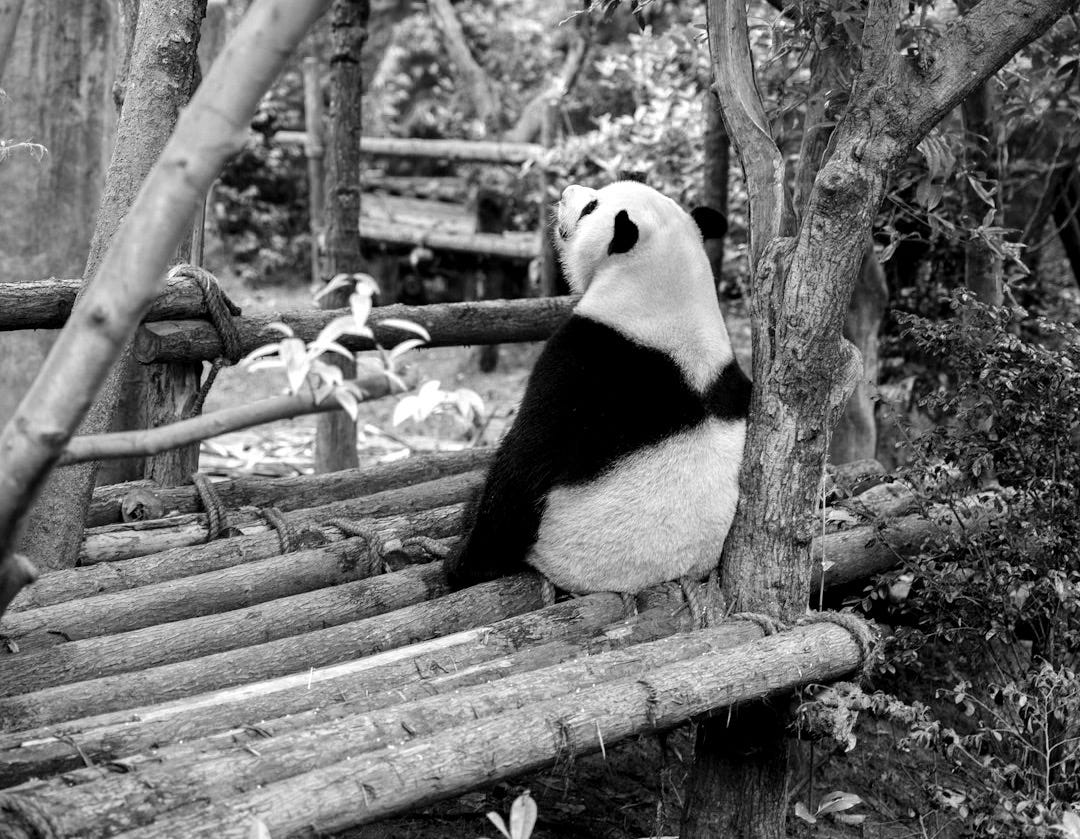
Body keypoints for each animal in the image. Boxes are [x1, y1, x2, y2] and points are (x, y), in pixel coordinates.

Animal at [445, 180, 750, 600]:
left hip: (558, 541)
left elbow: (523, 463)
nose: (566, 191)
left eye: (591, 206)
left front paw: (461, 566)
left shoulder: (582, 365)